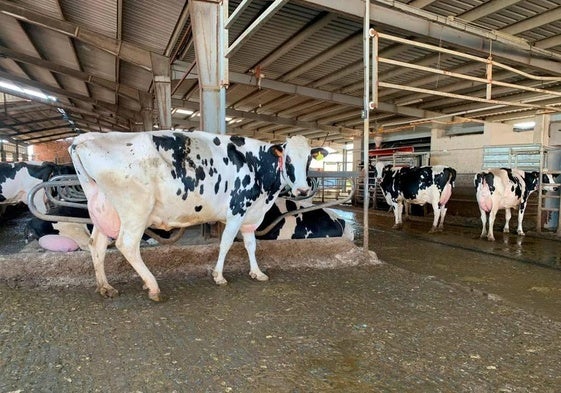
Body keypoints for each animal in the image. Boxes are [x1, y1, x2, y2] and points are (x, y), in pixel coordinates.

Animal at [70, 131, 326, 300]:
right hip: (135, 210)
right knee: (127, 244)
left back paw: (105, 286)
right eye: (288, 159)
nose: (302, 190)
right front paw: (218, 276)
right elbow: (226, 243)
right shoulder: (237, 210)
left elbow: (251, 245)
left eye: (309, 160)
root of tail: (85, 139)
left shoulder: (251, 215)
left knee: (97, 245)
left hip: (104, 210)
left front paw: (257, 272)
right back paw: (152, 286)